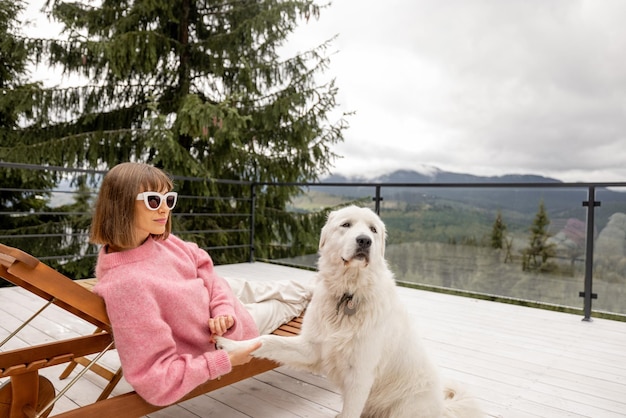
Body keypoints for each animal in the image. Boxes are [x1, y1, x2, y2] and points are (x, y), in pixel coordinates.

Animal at [217, 206, 480, 418]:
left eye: (373, 230)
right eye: (346, 225)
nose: (364, 241)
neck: (347, 296)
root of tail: (442, 408)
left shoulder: (360, 375)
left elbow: (350, 412)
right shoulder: (311, 349)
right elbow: (266, 341)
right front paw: (231, 346)